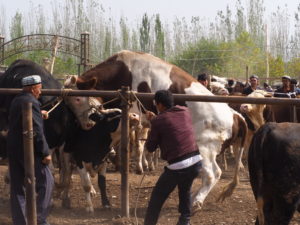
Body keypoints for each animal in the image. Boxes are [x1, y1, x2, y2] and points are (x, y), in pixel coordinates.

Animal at [65, 50, 246, 210]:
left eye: (78, 98)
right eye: (69, 102)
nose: (86, 124)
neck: (122, 72)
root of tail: (234, 114)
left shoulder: (134, 119)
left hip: (205, 148)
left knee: (212, 174)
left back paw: (196, 201)